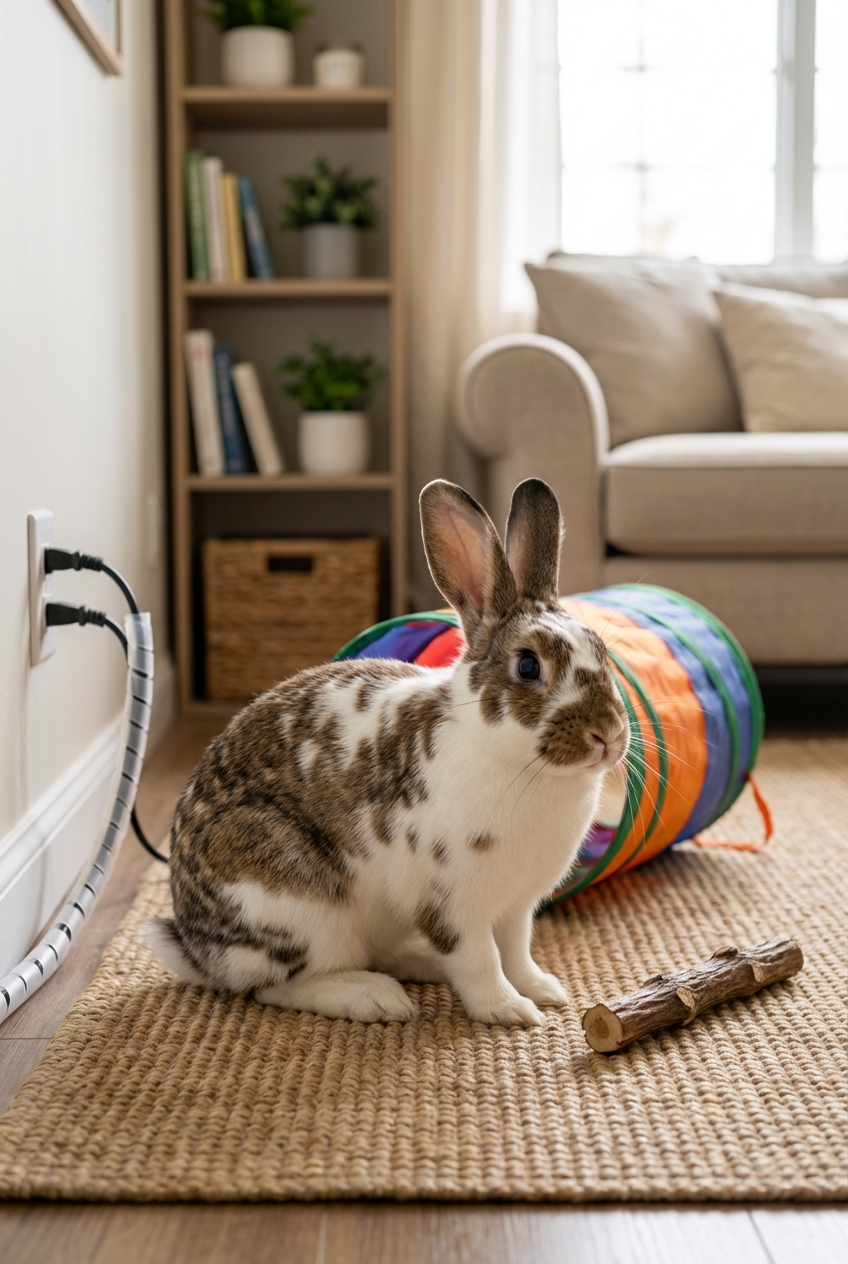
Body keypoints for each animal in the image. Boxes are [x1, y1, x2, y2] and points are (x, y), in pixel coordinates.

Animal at [148, 478, 629, 1027]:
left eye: (603, 652)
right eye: (528, 666)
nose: (608, 735)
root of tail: (198, 949)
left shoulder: (516, 906)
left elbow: (515, 950)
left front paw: (545, 989)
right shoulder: (452, 905)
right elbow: (479, 960)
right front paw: (509, 1010)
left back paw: (419, 966)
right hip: (296, 906)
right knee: (274, 986)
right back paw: (376, 997)